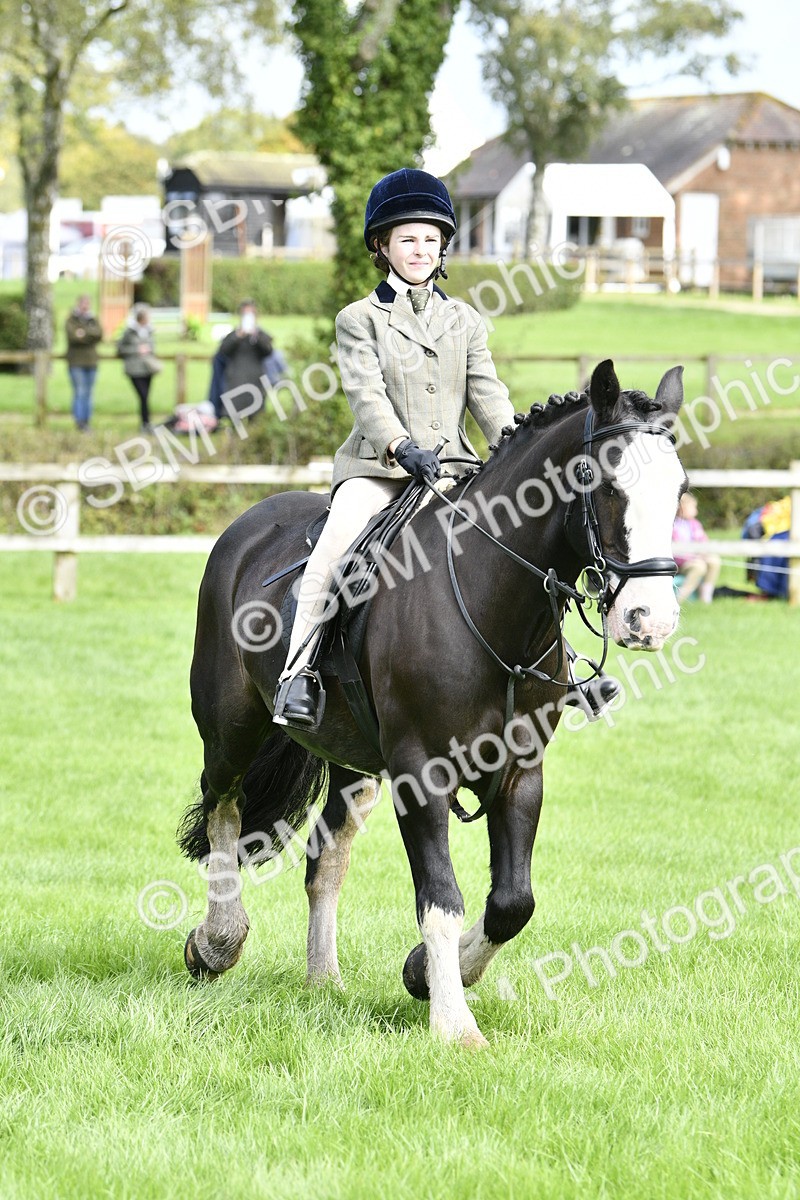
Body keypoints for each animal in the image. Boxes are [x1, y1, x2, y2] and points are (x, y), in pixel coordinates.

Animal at [178, 359, 687, 1047]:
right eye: (598, 480)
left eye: (680, 487)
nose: (649, 620)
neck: (491, 598)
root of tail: (249, 523)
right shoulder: (420, 773)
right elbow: (441, 897)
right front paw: (454, 1024)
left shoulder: (520, 771)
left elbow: (512, 903)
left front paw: (425, 974)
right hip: (233, 725)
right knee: (223, 807)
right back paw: (217, 942)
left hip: (355, 764)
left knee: (324, 857)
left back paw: (323, 981)